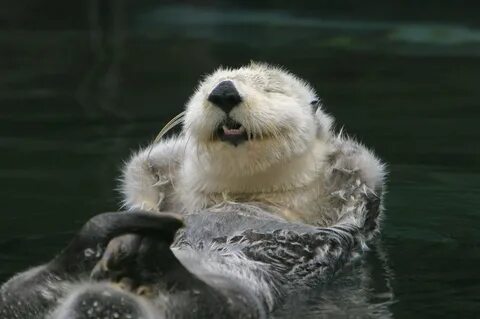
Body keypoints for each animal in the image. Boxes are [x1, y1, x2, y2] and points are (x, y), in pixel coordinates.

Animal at [0, 63, 386, 318]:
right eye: (207, 87)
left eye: (270, 89)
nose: (224, 92)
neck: (244, 193)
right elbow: (146, 170)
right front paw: (147, 210)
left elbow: (360, 193)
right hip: (19, 289)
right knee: (27, 289)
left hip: (230, 300)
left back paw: (146, 249)